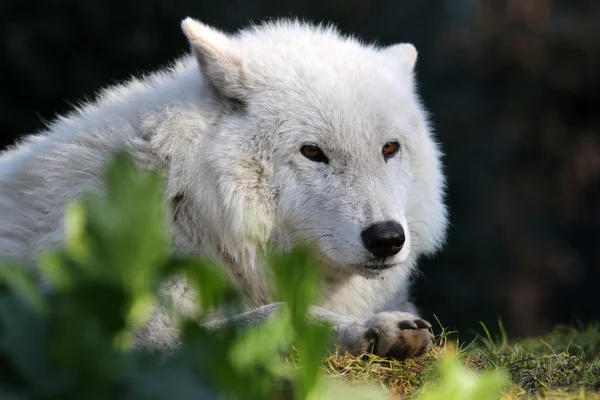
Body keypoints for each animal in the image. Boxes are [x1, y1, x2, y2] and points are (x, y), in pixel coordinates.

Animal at [0, 18, 446, 360]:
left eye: (389, 149)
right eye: (312, 152)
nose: (386, 239)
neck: (189, 207)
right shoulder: (133, 344)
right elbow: (276, 313)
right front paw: (363, 329)